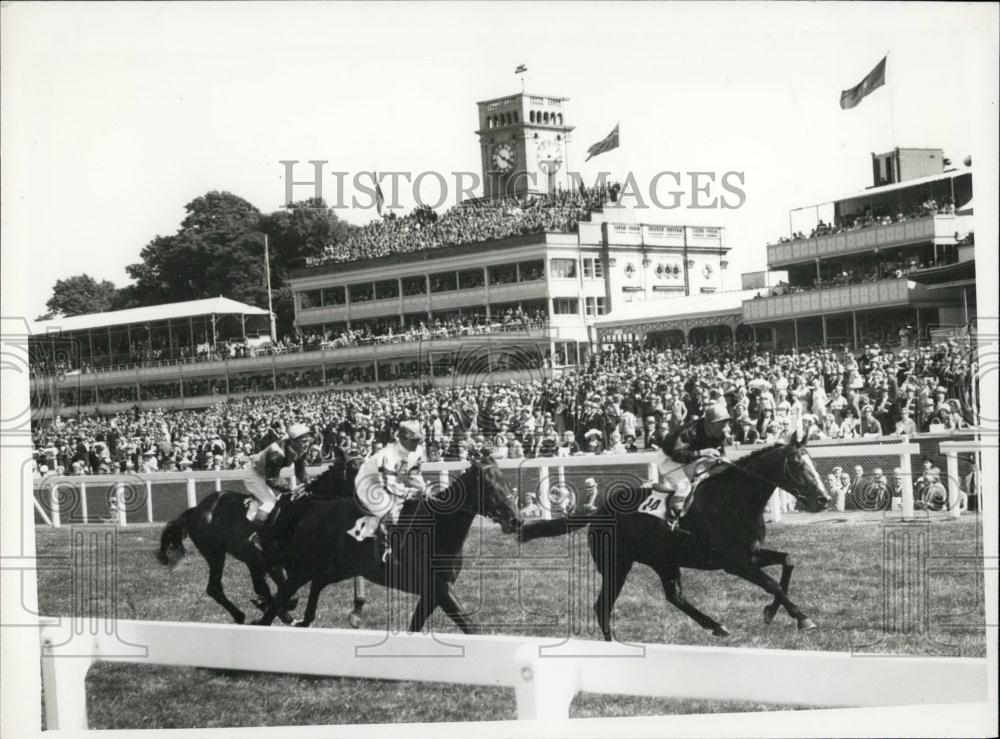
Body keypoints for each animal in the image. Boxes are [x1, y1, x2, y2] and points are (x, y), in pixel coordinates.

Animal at [154, 448, 362, 628]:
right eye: (355, 468)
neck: (303, 510)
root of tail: (195, 509)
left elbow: (288, 593)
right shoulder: (274, 563)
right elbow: (288, 596)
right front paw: (272, 610)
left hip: (247, 559)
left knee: (254, 586)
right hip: (215, 552)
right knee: (215, 587)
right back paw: (241, 614)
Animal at [520, 436, 832, 640]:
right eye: (797, 464)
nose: (824, 498)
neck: (733, 499)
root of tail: (598, 511)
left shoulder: (752, 554)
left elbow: (787, 562)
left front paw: (771, 611)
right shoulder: (734, 563)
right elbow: (771, 583)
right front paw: (802, 618)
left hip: (663, 561)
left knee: (674, 596)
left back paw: (716, 626)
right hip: (616, 565)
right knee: (602, 606)